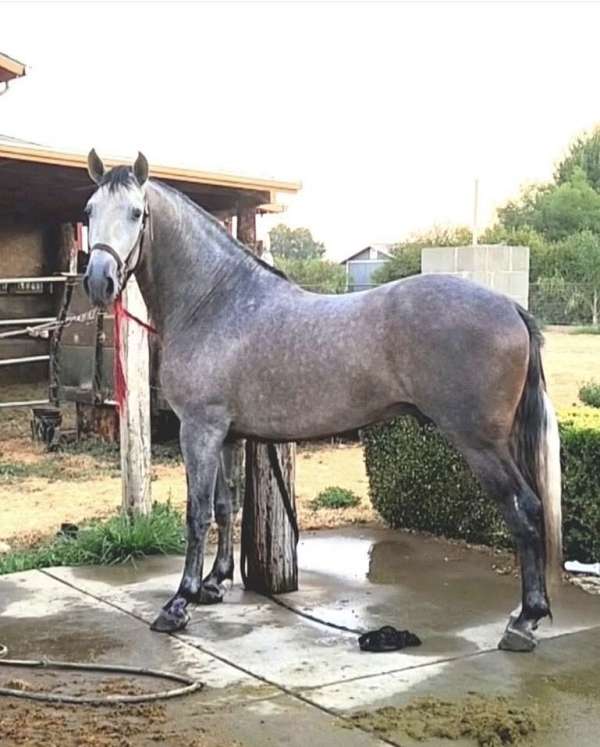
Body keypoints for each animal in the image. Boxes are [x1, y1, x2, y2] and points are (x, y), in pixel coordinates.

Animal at [82, 150, 562, 653]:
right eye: (89, 211)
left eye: (137, 213)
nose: (99, 281)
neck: (216, 304)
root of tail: (511, 308)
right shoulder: (227, 435)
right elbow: (225, 506)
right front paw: (215, 583)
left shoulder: (199, 430)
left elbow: (196, 513)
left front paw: (180, 603)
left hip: (480, 443)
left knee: (525, 510)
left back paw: (524, 621)